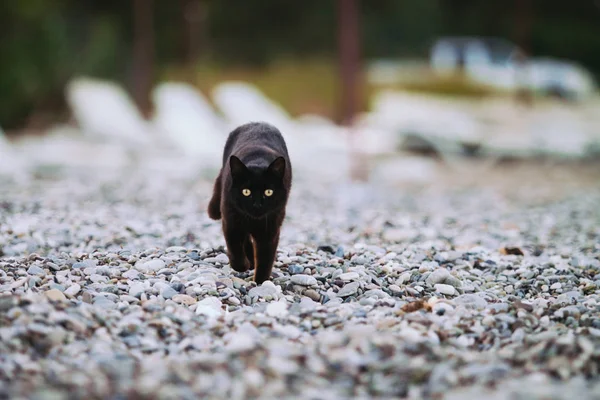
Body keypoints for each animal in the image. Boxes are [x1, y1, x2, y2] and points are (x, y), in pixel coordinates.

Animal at [209, 122, 292, 284]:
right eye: (246, 192)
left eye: (268, 192)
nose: (257, 204)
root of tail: (257, 122)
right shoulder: (231, 222)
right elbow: (235, 249)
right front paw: (243, 265)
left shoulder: (270, 230)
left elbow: (265, 259)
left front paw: (260, 282)